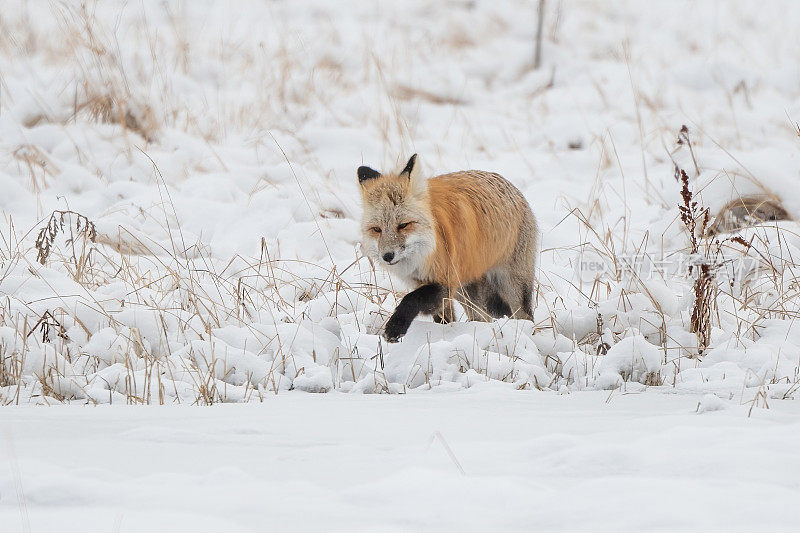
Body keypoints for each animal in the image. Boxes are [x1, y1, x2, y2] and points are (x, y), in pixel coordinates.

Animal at [360, 155, 536, 340]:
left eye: (403, 225)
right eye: (376, 229)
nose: (387, 256)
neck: (425, 255)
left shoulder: (446, 281)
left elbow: (411, 299)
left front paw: (395, 326)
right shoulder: (426, 283)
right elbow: (442, 316)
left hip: (511, 286)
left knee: (525, 316)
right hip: (466, 291)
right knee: (482, 317)